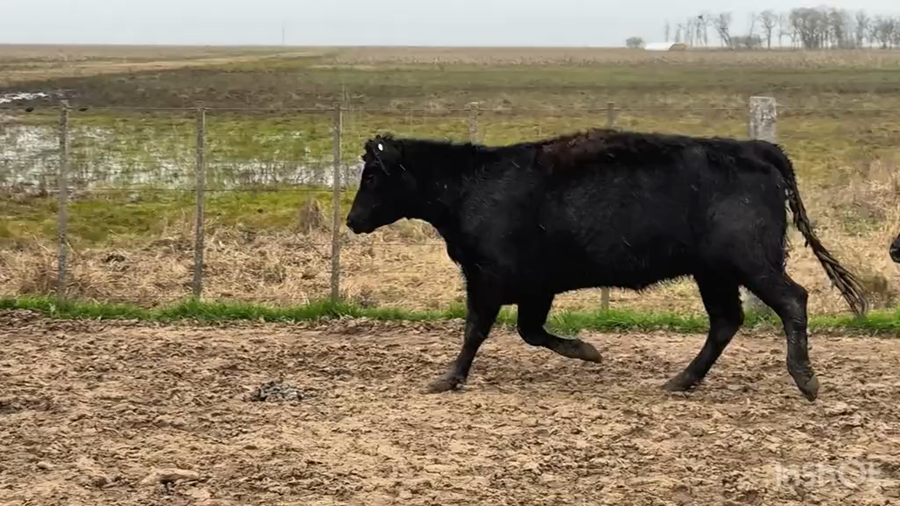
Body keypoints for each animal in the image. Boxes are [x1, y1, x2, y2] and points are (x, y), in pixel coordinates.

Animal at [345, 128, 869, 402]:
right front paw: (588, 350)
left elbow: (476, 329)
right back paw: (681, 380)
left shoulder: (487, 278)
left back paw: (805, 378)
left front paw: (449, 378)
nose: (352, 220)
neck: (471, 184)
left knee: (791, 300)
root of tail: (754, 147)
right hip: (714, 272)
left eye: (371, 176)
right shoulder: (536, 285)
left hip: (750, 263)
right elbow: (530, 331)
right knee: (726, 321)